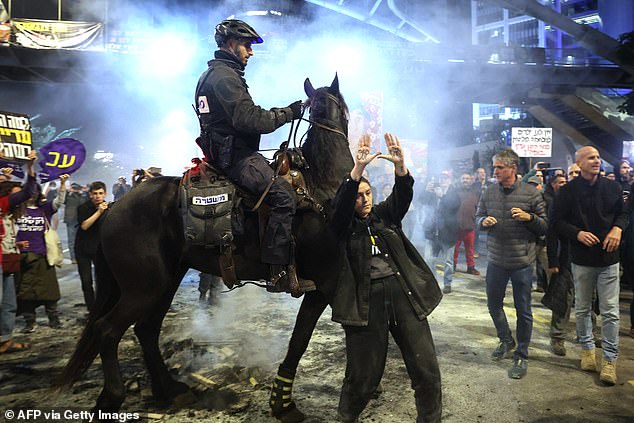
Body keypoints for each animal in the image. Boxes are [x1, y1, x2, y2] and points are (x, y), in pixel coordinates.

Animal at [59, 74, 350, 422]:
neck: (319, 186)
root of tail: (113, 207)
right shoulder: (324, 282)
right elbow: (300, 340)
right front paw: (284, 404)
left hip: (165, 281)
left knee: (146, 329)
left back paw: (170, 390)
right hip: (142, 288)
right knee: (108, 330)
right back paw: (113, 397)